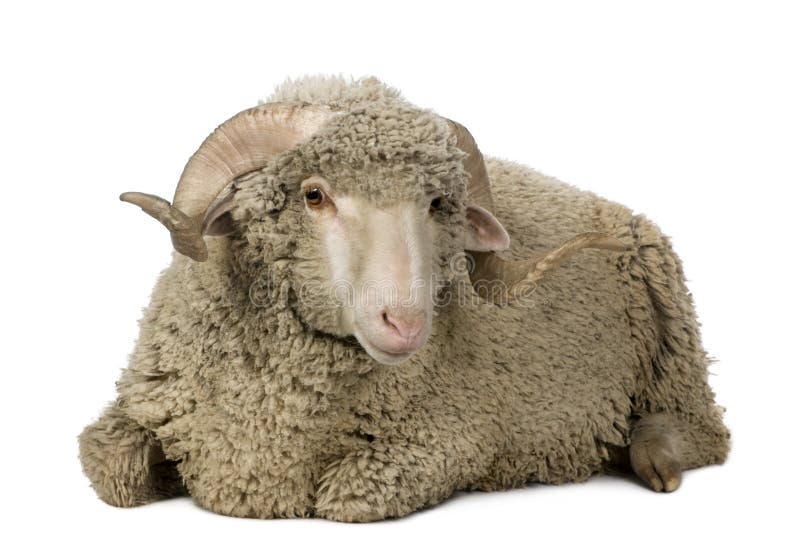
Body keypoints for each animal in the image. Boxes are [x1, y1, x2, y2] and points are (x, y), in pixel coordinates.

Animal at [79, 76, 732, 524]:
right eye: (313, 195)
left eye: (438, 205)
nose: (407, 322)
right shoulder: (143, 410)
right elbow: (107, 463)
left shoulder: (451, 439)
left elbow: (346, 495)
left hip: (674, 345)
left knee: (705, 432)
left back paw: (652, 457)